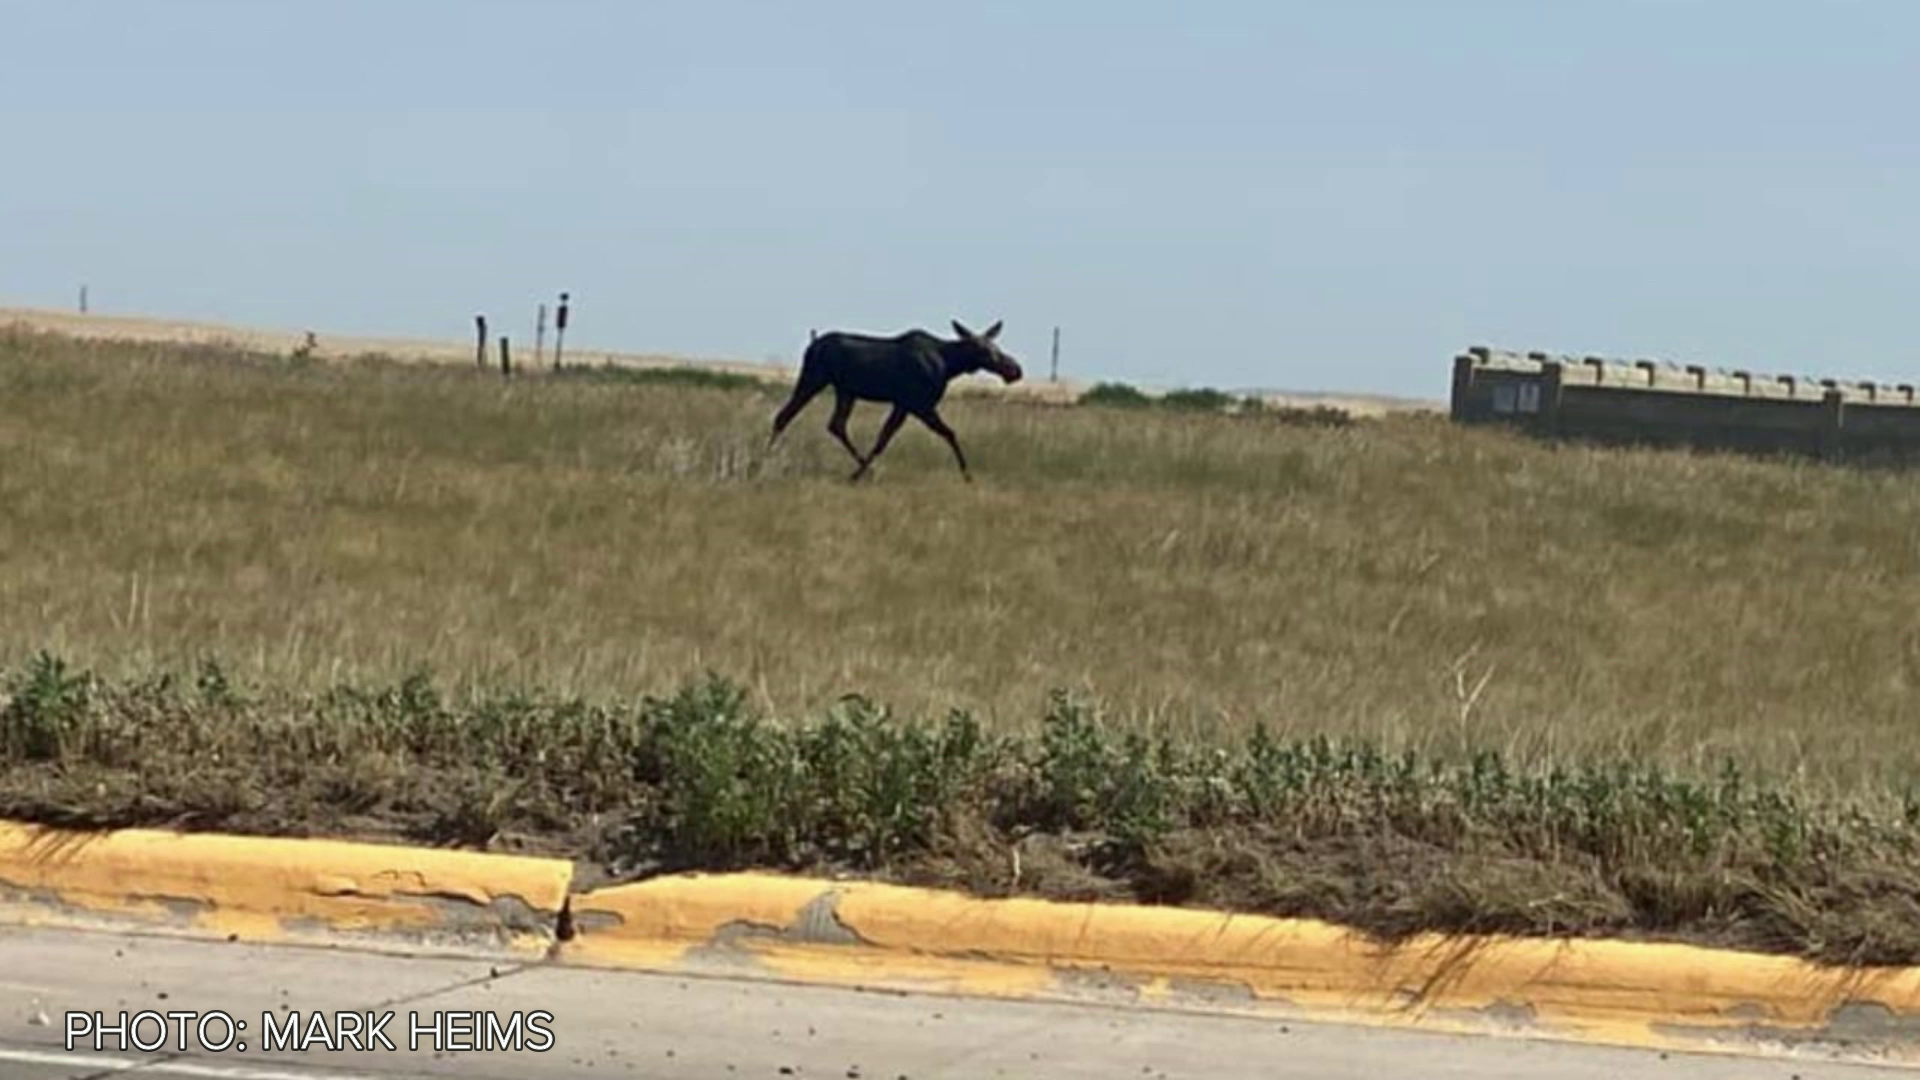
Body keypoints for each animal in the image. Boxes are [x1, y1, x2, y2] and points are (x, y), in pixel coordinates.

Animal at [767, 319, 1024, 482]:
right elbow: (950, 433)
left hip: (845, 391)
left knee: (836, 424)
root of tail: (812, 342)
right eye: (983, 350)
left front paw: (860, 473)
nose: (1014, 369)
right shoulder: (920, 404)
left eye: (996, 345)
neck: (950, 366)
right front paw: (967, 475)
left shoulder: (903, 404)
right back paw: (763, 462)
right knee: (783, 416)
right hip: (814, 378)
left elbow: (883, 439)